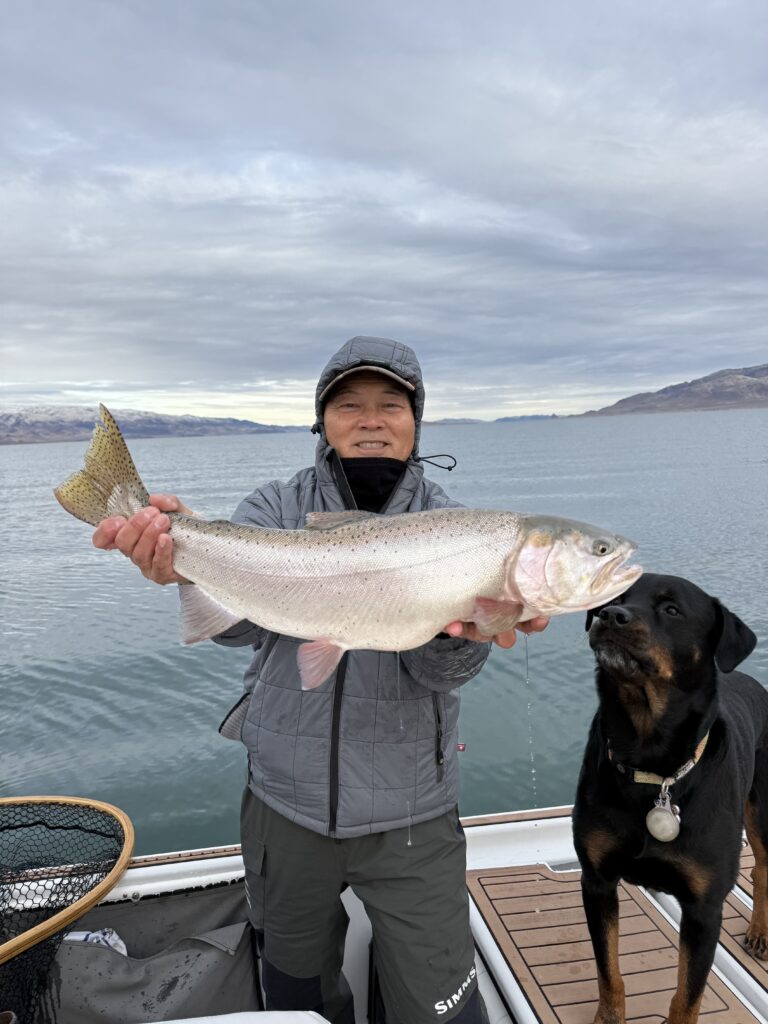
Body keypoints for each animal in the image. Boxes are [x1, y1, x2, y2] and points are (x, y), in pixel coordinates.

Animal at [573, 573, 765, 1024]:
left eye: (672, 610)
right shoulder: (597, 880)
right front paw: (610, 1016)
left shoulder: (703, 909)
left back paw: (759, 932)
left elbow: (687, 995)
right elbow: (609, 971)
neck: (651, 767)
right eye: (615, 597)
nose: (611, 615)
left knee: (763, 868)